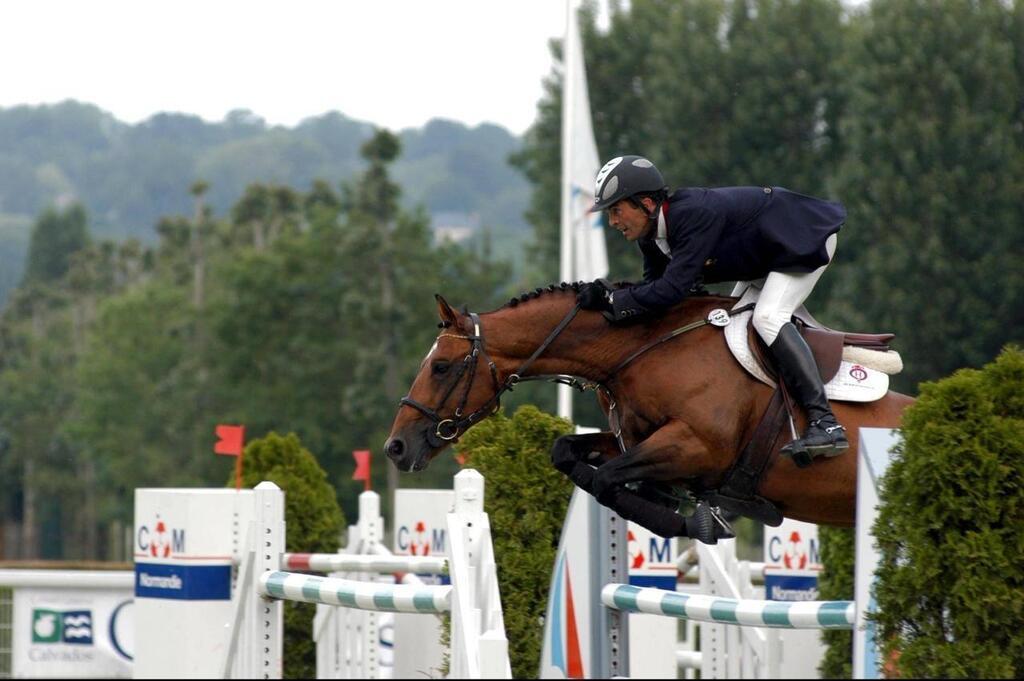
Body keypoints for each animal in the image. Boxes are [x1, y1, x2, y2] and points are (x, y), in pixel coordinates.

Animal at [385, 284, 913, 544]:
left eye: (441, 366)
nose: (396, 447)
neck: (639, 349)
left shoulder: (694, 446)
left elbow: (605, 480)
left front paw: (696, 523)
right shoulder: (635, 438)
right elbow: (568, 453)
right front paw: (674, 504)